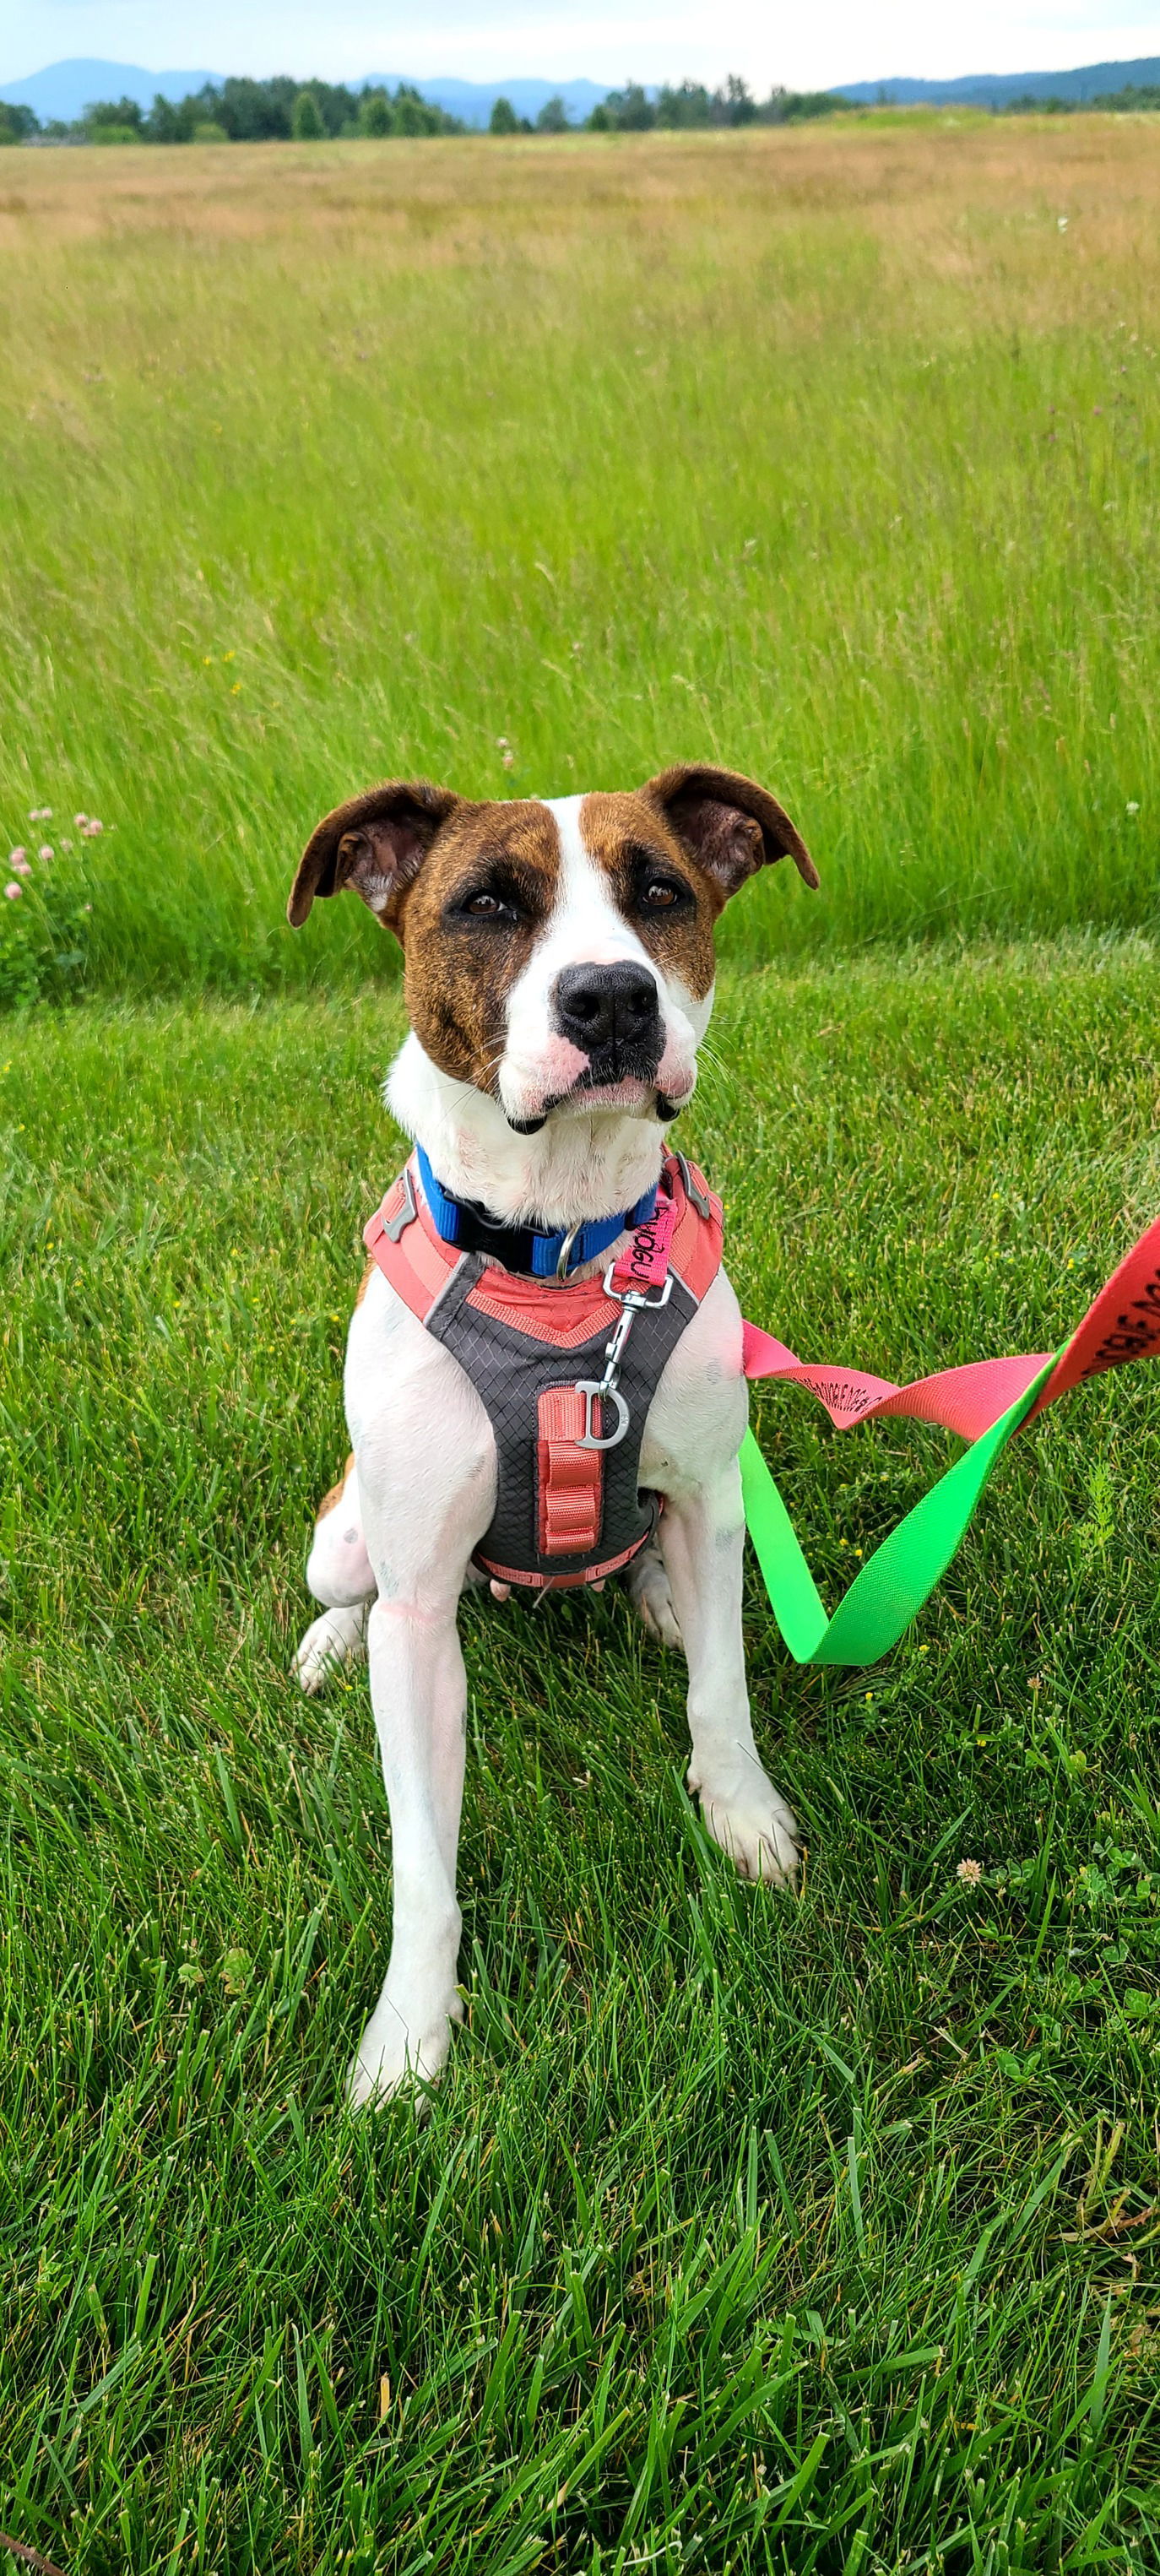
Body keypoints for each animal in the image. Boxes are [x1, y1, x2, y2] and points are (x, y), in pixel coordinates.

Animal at [287, 762, 814, 2091]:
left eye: (660, 891)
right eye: (486, 902)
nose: (612, 998)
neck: (561, 1249)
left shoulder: (712, 1491)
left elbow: (723, 1697)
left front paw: (745, 1817)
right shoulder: (421, 1609)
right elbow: (422, 1861)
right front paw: (407, 2039)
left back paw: (661, 1600)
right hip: (347, 1535)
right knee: (349, 1590)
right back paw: (328, 1644)